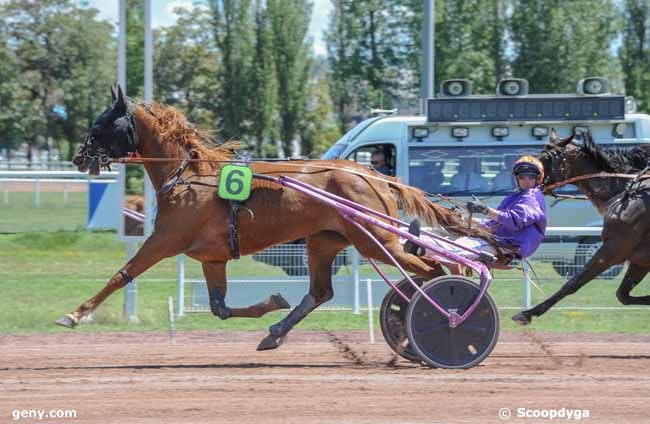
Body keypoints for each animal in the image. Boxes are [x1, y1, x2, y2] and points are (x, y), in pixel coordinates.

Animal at [60, 84, 486, 350]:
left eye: (99, 124)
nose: (79, 157)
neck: (189, 176)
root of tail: (376, 175)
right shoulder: (212, 257)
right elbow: (219, 308)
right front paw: (273, 302)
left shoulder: (164, 241)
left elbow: (122, 275)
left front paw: (75, 314)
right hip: (325, 242)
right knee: (321, 292)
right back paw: (278, 332)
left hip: (376, 241)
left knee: (432, 269)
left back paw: (449, 312)